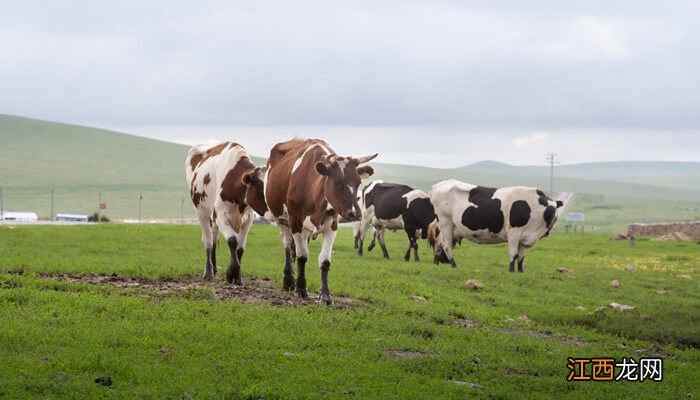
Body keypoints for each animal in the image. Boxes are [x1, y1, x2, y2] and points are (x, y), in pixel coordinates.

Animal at [186, 142, 268, 282]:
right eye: (259, 187)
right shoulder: (219, 215)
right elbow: (232, 241)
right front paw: (231, 272)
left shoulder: (248, 219)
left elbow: (240, 248)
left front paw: (238, 277)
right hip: (202, 213)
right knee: (208, 242)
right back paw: (209, 272)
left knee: (214, 240)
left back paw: (214, 270)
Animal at [266, 138, 378, 304]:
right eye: (337, 182)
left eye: (358, 183)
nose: (355, 213)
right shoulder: (295, 222)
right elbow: (301, 256)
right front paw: (301, 289)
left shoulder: (332, 225)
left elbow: (324, 261)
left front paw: (325, 295)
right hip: (280, 219)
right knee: (287, 245)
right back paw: (289, 281)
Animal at [426, 180, 564, 272]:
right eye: (551, 210)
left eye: (556, 210)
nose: (553, 221)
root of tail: (438, 185)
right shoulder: (514, 231)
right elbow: (513, 253)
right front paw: (511, 271)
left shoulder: (524, 237)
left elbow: (521, 257)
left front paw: (520, 272)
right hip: (446, 222)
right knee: (447, 246)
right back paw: (455, 266)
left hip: (449, 228)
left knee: (438, 243)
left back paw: (436, 263)